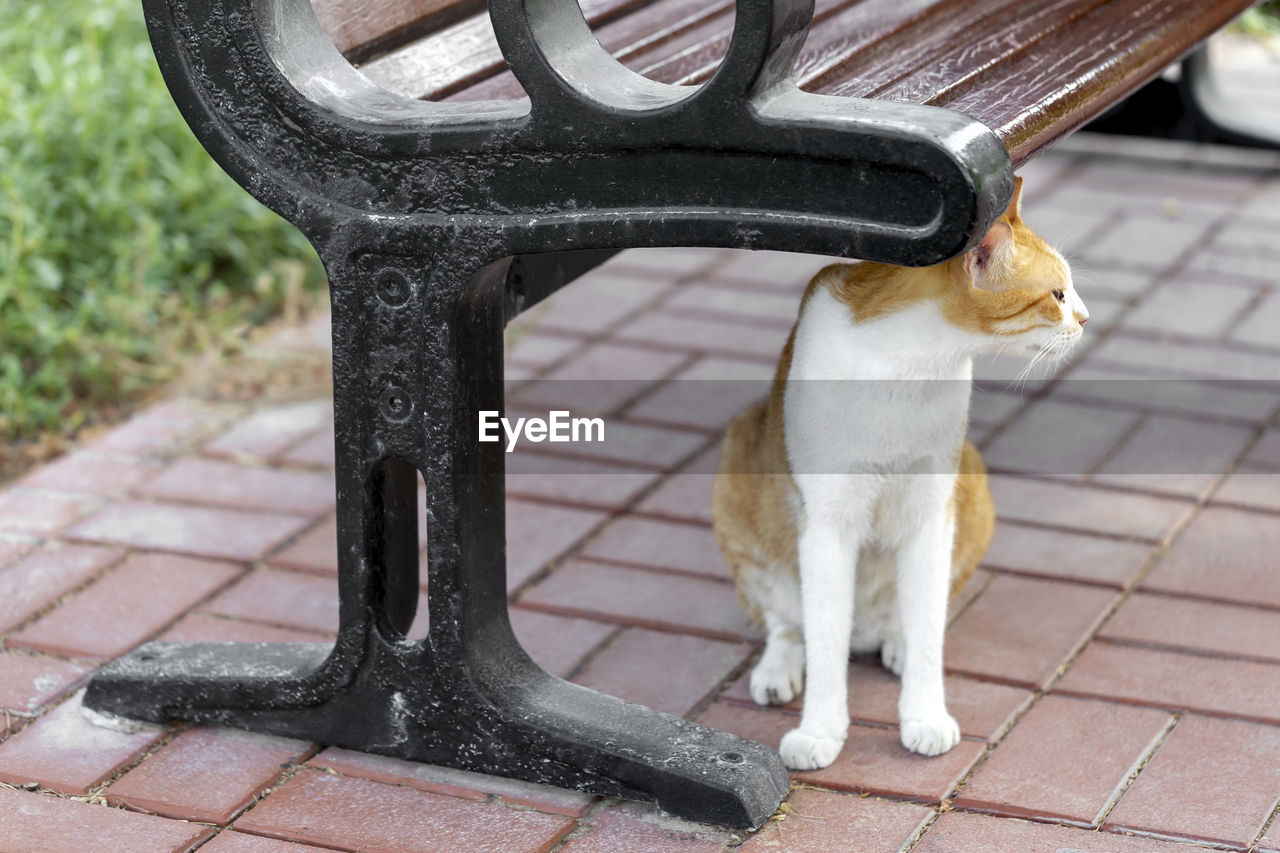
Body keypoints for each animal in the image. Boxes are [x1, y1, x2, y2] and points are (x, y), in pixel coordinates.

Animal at [716, 175, 1085, 768]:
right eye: (1056, 295)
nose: (1086, 319)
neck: (909, 369)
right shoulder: (827, 525)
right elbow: (823, 638)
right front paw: (820, 731)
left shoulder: (931, 513)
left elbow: (929, 631)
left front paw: (924, 715)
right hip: (738, 472)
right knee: (788, 620)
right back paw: (779, 668)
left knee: (906, 616)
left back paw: (894, 642)